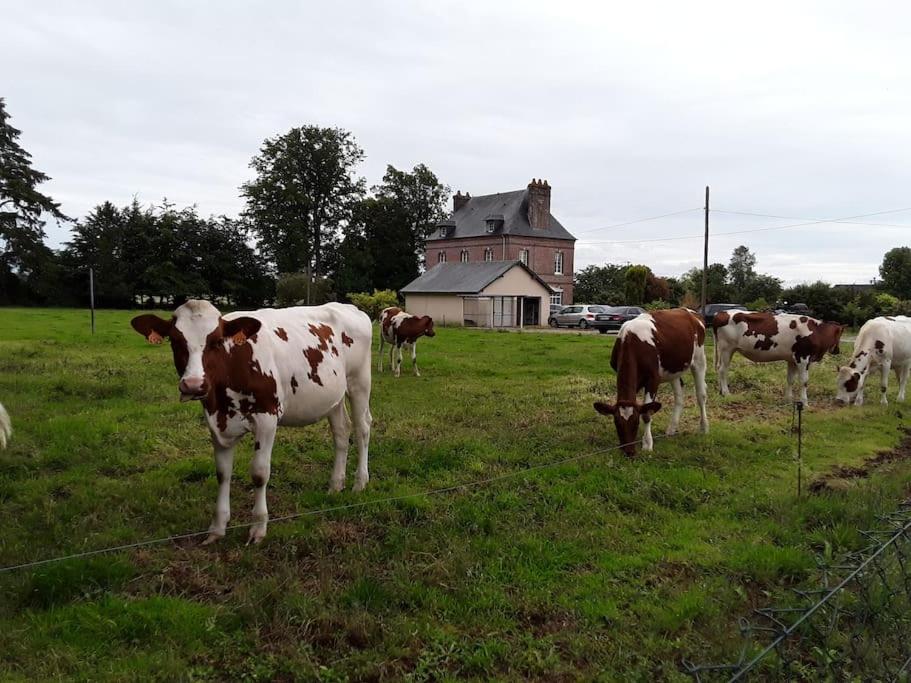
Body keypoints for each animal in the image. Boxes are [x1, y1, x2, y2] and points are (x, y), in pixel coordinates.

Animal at [130, 300, 372, 544]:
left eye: (216, 341)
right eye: (175, 341)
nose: (193, 385)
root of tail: (349, 307)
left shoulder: (267, 419)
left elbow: (259, 473)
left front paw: (258, 527)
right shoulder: (216, 423)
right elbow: (222, 473)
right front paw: (217, 528)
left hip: (359, 382)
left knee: (362, 428)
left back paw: (360, 483)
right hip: (333, 395)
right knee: (341, 432)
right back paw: (335, 485)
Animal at [596, 308, 708, 456]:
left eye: (636, 423)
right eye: (617, 423)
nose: (629, 451)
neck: (631, 340)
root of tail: (690, 312)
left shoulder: (654, 379)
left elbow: (647, 414)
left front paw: (647, 444)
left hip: (699, 359)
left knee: (701, 395)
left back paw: (704, 427)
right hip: (673, 369)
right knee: (679, 396)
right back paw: (671, 429)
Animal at [712, 312, 848, 406]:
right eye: (840, 334)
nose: (837, 351)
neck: (817, 331)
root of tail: (721, 313)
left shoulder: (792, 360)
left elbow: (790, 379)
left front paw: (788, 399)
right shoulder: (803, 358)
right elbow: (804, 381)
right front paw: (804, 402)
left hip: (725, 350)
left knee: (719, 368)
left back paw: (720, 391)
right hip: (727, 349)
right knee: (723, 370)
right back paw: (726, 393)